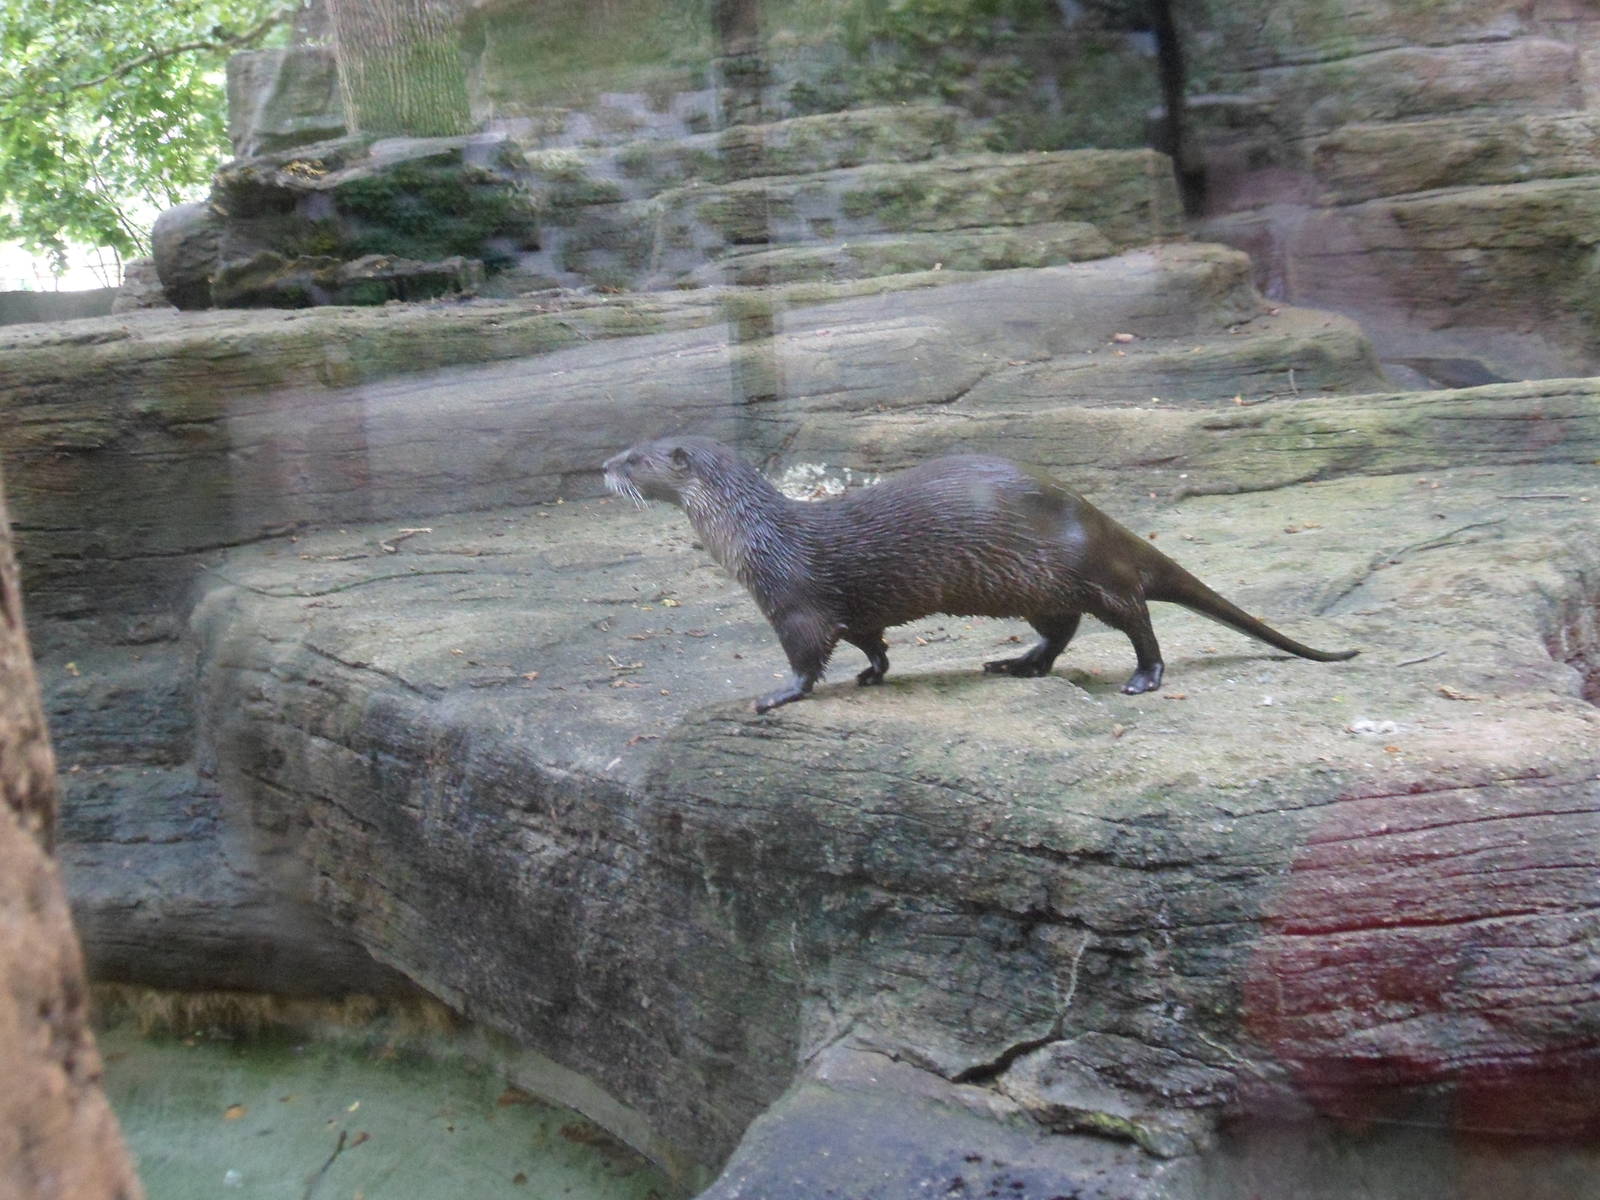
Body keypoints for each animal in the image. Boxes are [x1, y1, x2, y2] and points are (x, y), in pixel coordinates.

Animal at [604, 437, 1357, 713]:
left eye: (638, 457)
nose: (605, 466)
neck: (757, 538)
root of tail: (1094, 515)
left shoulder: (794, 601)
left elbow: (806, 654)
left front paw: (778, 695)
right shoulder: (855, 610)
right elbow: (870, 640)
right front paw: (874, 674)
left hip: (1090, 574)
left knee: (1136, 617)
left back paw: (1143, 677)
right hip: (1037, 588)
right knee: (1060, 631)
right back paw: (1016, 664)